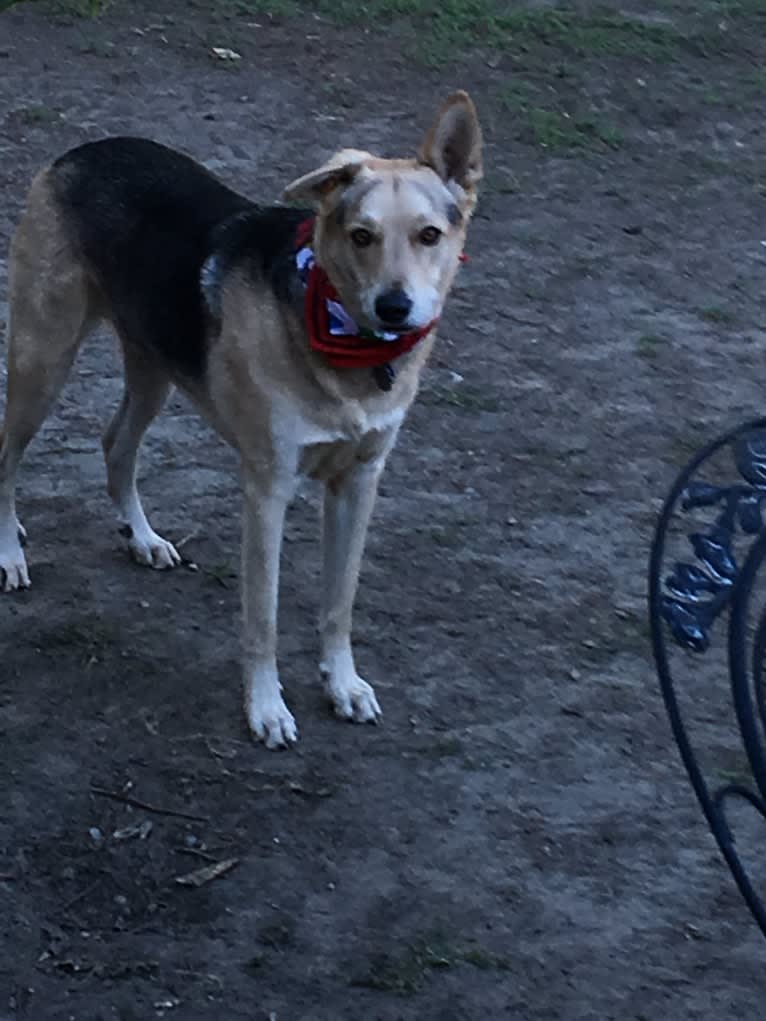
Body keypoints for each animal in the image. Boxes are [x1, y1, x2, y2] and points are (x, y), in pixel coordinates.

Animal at [0, 91, 482, 747]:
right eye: (362, 235)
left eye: (430, 235)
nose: (394, 307)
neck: (343, 347)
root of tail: (82, 150)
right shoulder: (267, 489)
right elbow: (263, 617)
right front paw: (266, 709)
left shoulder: (360, 481)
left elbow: (340, 601)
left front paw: (343, 685)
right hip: (42, 360)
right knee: (8, 459)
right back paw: (8, 553)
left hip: (154, 368)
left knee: (115, 443)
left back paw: (142, 538)